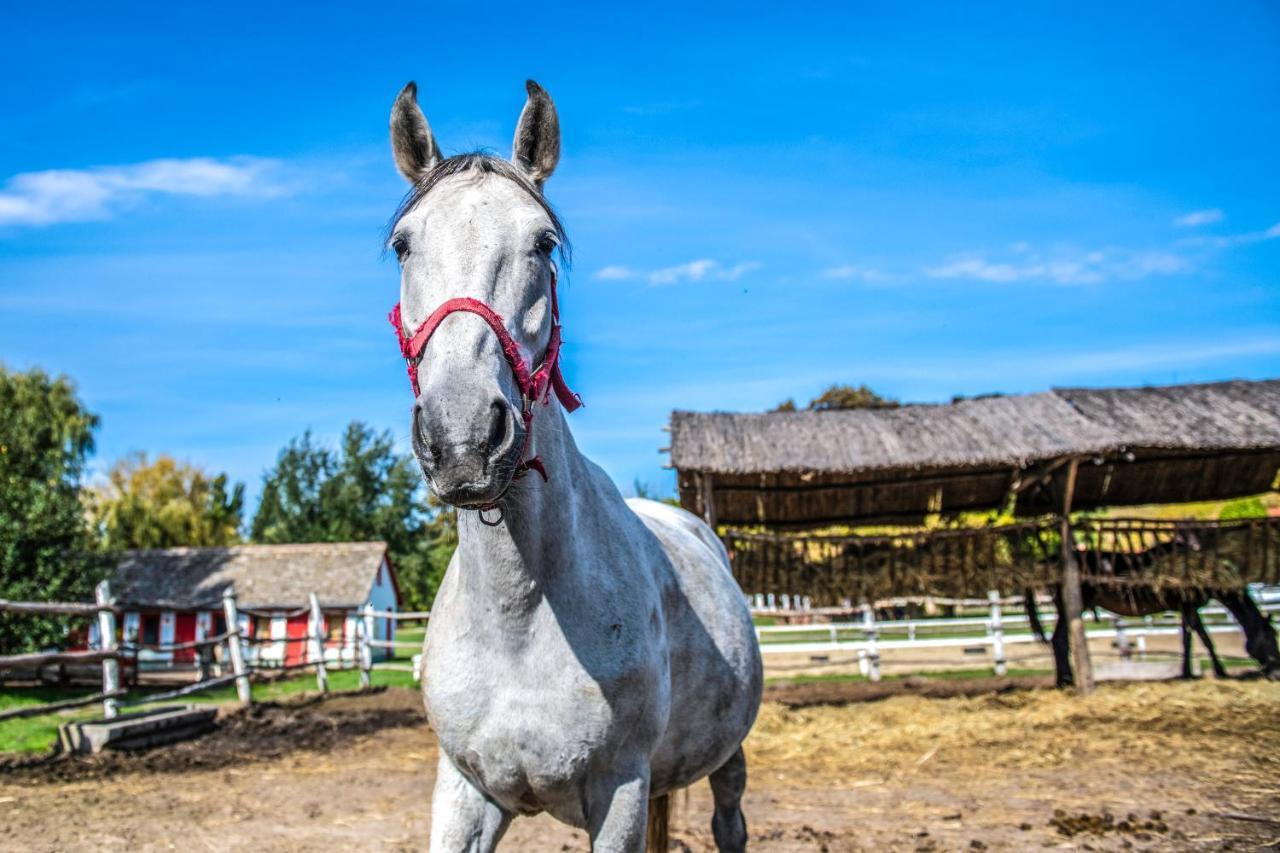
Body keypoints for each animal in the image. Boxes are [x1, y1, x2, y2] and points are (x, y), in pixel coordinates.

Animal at [384, 76, 762, 845]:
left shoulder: (618, 789)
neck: (518, 620)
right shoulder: (464, 792)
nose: (463, 436)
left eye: (543, 242)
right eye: (405, 246)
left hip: (726, 757)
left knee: (729, 824)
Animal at [1024, 535, 1280, 686]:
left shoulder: (1185, 608)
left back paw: (1065, 679)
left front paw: (1193, 672)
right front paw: (1215, 671)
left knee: (1059, 641)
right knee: (1059, 641)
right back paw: (1065, 680)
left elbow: (1191, 638)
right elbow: (1200, 638)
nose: (1276, 673)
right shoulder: (1187, 606)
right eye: (1268, 639)